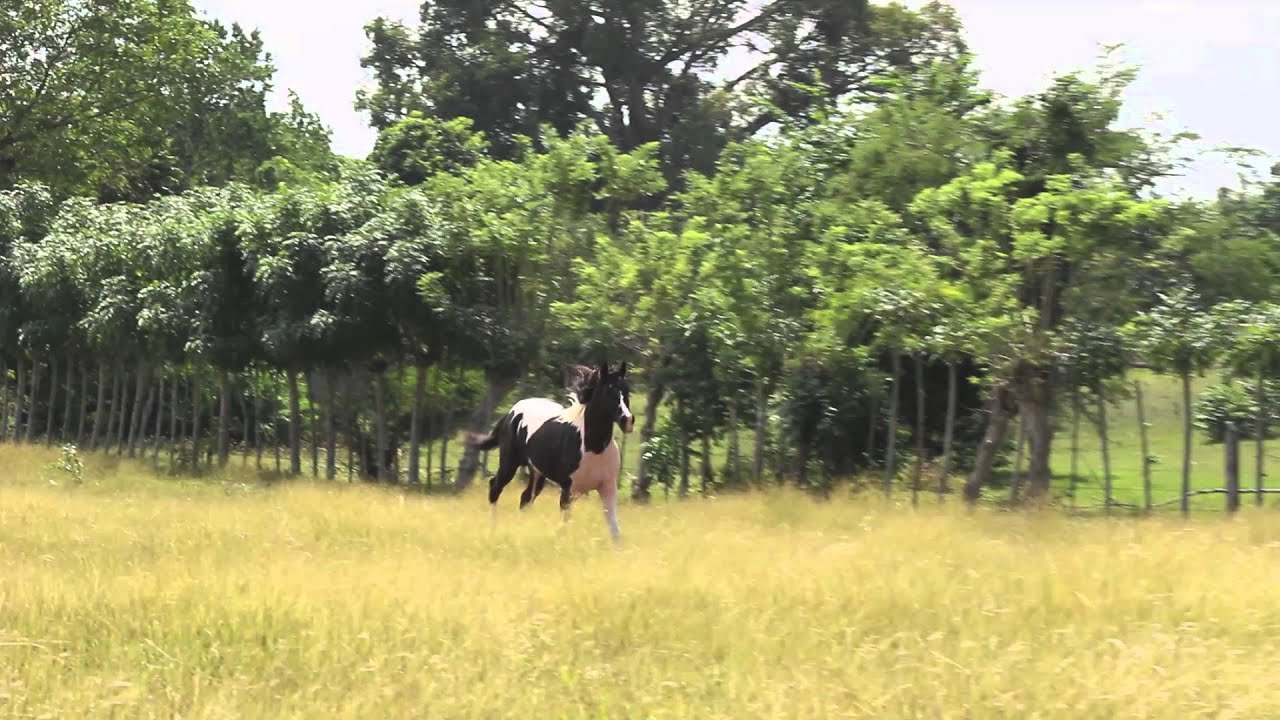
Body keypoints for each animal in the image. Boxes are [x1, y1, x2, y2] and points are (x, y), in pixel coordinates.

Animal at [466, 362, 635, 541]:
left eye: (626, 390)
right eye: (608, 391)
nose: (628, 421)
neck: (594, 448)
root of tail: (511, 413)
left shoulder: (608, 487)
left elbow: (615, 531)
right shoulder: (568, 489)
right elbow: (563, 527)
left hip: (537, 473)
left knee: (525, 498)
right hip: (509, 464)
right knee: (495, 487)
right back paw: (492, 531)